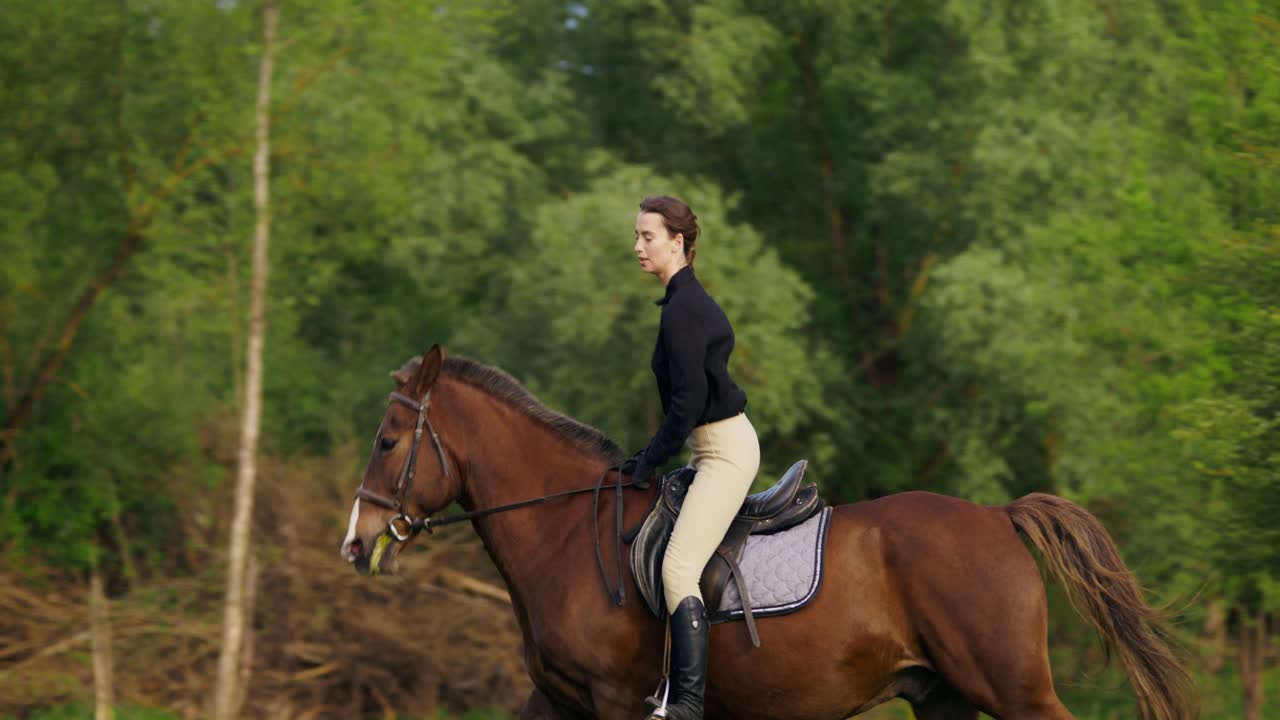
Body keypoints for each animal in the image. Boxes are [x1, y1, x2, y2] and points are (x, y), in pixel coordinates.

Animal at [339, 344, 1195, 720]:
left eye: (386, 441)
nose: (355, 542)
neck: (562, 535)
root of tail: (994, 516)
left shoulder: (612, 700)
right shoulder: (559, 703)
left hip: (1012, 688)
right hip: (944, 697)